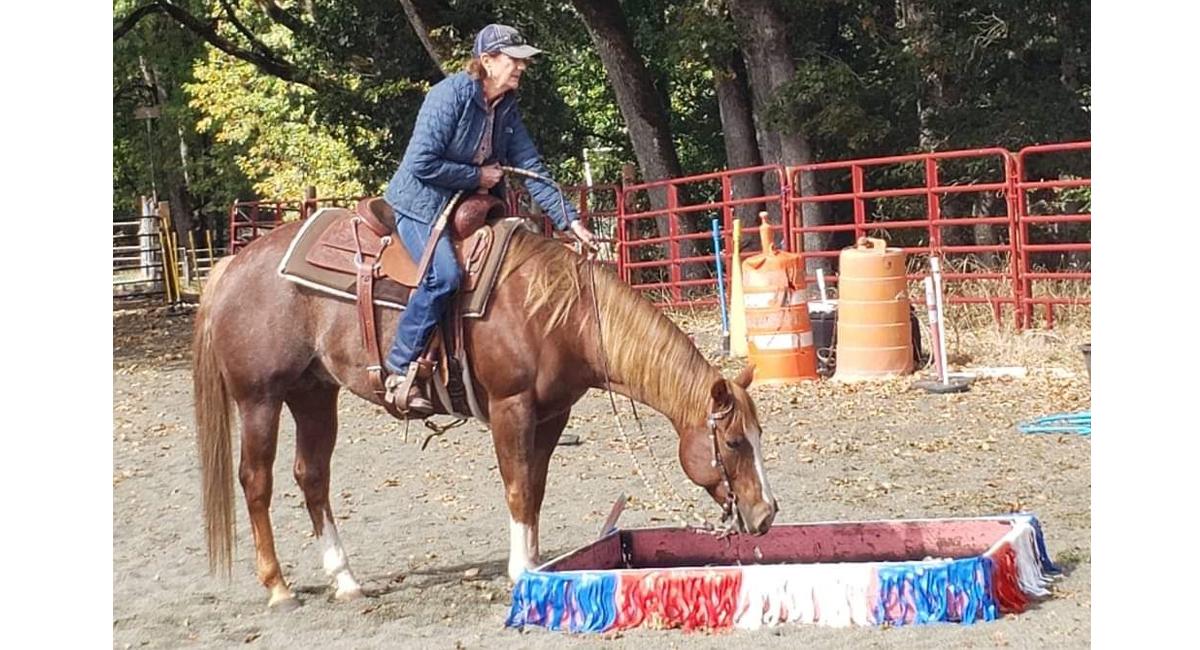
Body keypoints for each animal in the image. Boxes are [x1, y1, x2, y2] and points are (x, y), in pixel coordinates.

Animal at [194, 219, 777, 611]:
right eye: (733, 442)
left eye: (759, 435)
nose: (766, 514)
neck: (557, 312)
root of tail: (232, 265)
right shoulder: (509, 406)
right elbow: (517, 487)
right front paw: (522, 571)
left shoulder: (551, 415)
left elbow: (535, 488)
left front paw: (539, 564)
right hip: (260, 399)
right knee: (257, 482)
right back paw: (278, 587)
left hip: (314, 394)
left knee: (312, 477)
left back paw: (345, 580)